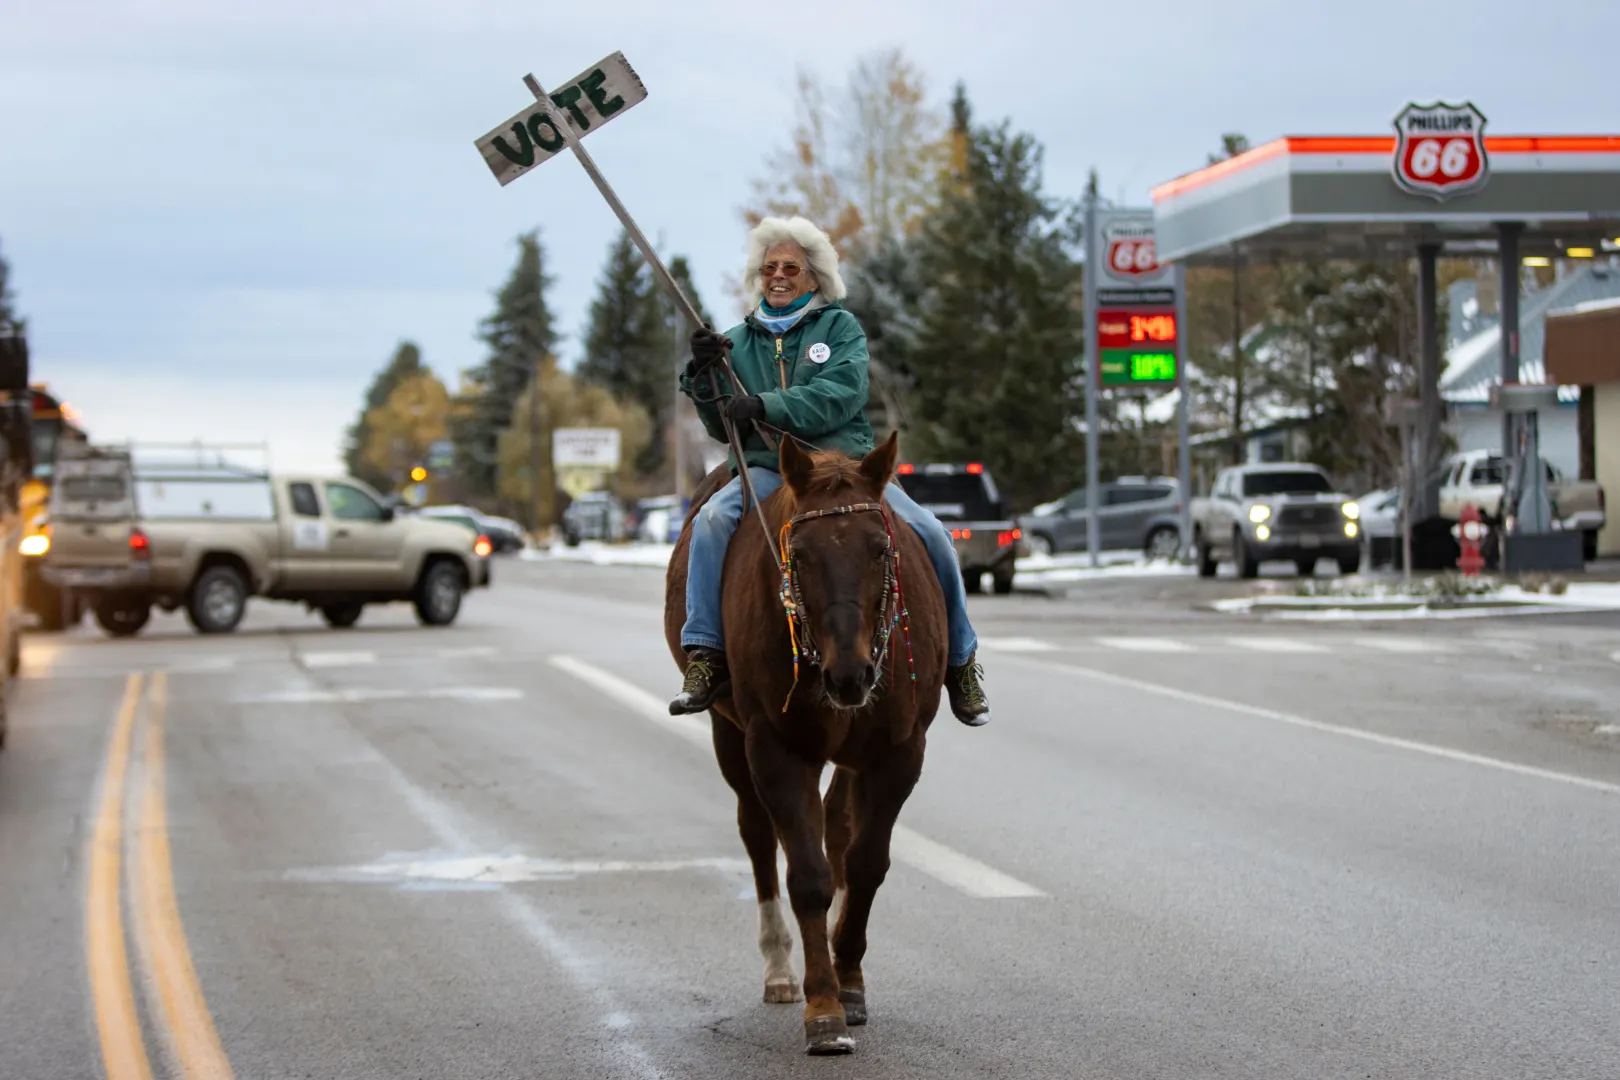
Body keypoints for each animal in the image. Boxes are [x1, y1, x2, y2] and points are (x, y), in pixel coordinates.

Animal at [660, 433, 946, 1055]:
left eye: (879, 550)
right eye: (801, 554)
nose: (850, 676)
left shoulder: (899, 754)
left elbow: (864, 864)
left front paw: (850, 983)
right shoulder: (776, 748)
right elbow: (808, 876)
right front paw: (824, 1009)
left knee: (836, 826)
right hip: (730, 736)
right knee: (759, 835)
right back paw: (780, 970)